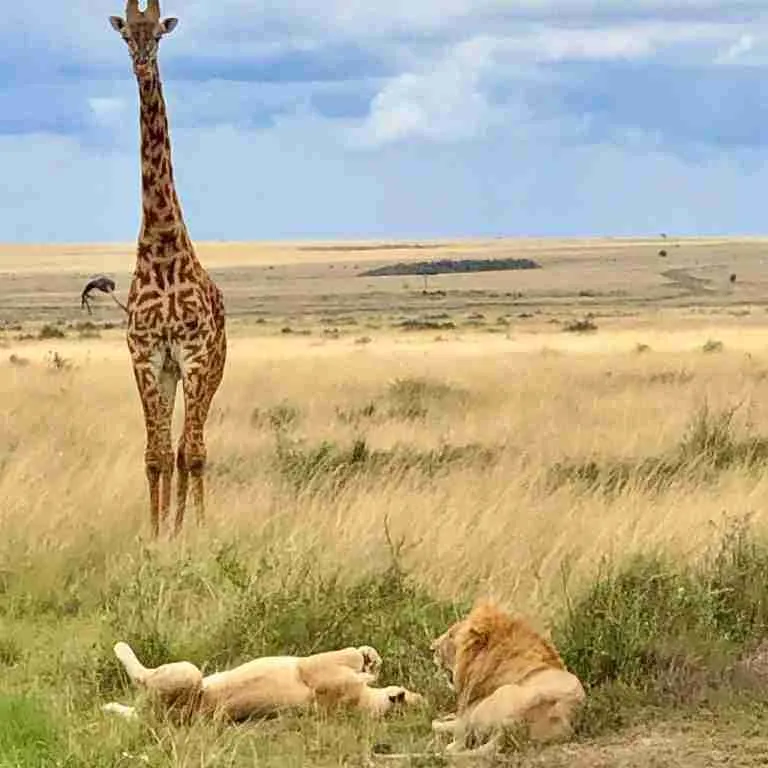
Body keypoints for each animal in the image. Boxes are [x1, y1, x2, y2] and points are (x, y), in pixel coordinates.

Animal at [100, 640, 424, 724]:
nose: (420, 699)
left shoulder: (312, 667)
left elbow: (349, 658)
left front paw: (365, 662)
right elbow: (364, 661)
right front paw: (371, 658)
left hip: (188, 674)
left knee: (143, 677)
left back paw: (119, 647)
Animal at [428, 600, 584, 756]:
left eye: (451, 635)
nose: (432, 648)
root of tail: (510, 730)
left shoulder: (467, 714)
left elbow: (437, 723)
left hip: (493, 700)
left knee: (457, 743)